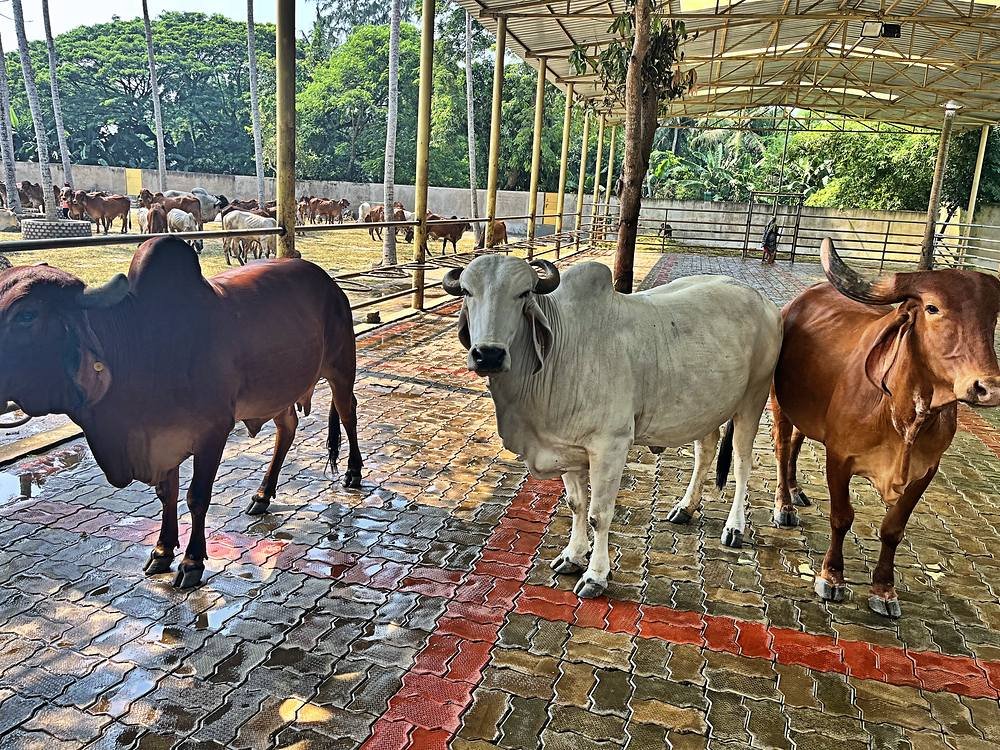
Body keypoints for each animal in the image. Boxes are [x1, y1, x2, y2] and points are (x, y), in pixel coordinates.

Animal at [0, 237, 363, 588]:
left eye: (27, 315)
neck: (145, 344)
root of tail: (328, 281)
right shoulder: (162, 439)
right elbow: (167, 495)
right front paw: (162, 551)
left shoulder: (213, 432)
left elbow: (196, 497)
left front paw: (191, 562)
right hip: (277, 391)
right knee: (287, 427)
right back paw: (262, 494)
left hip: (341, 367)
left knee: (348, 413)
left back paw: (353, 473)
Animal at [443, 255, 783, 597]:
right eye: (467, 292)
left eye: (523, 293)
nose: (488, 354)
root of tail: (764, 301)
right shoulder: (568, 448)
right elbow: (576, 505)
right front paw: (572, 556)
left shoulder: (610, 446)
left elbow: (599, 515)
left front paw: (595, 576)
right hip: (706, 408)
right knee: (706, 451)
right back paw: (685, 508)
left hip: (753, 398)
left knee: (742, 463)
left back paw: (734, 527)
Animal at [771, 239, 1000, 618]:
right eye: (933, 308)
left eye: (992, 316)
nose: (988, 387)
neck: (904, 412)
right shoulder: (839, 457)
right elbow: (841, 517)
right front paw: (832, 577)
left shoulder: (926, 471)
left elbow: (893, 528)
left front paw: (884, 588)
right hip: (779, 404)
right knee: (782, 447)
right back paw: (784, 504)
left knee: (797, 443)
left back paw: (795, 489)